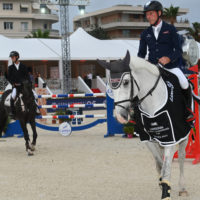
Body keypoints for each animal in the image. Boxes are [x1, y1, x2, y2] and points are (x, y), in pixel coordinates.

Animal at [97, 52, 198, 200]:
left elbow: (166, 166)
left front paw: (166, 193)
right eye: (110, 84)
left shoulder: (172, 137)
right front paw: (163, 185)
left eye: (126, 82)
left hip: (184, 135)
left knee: (181, 157)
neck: (153, 102)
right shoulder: (148, 139)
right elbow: (160, 164)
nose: (120, 116)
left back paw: (182, 188)